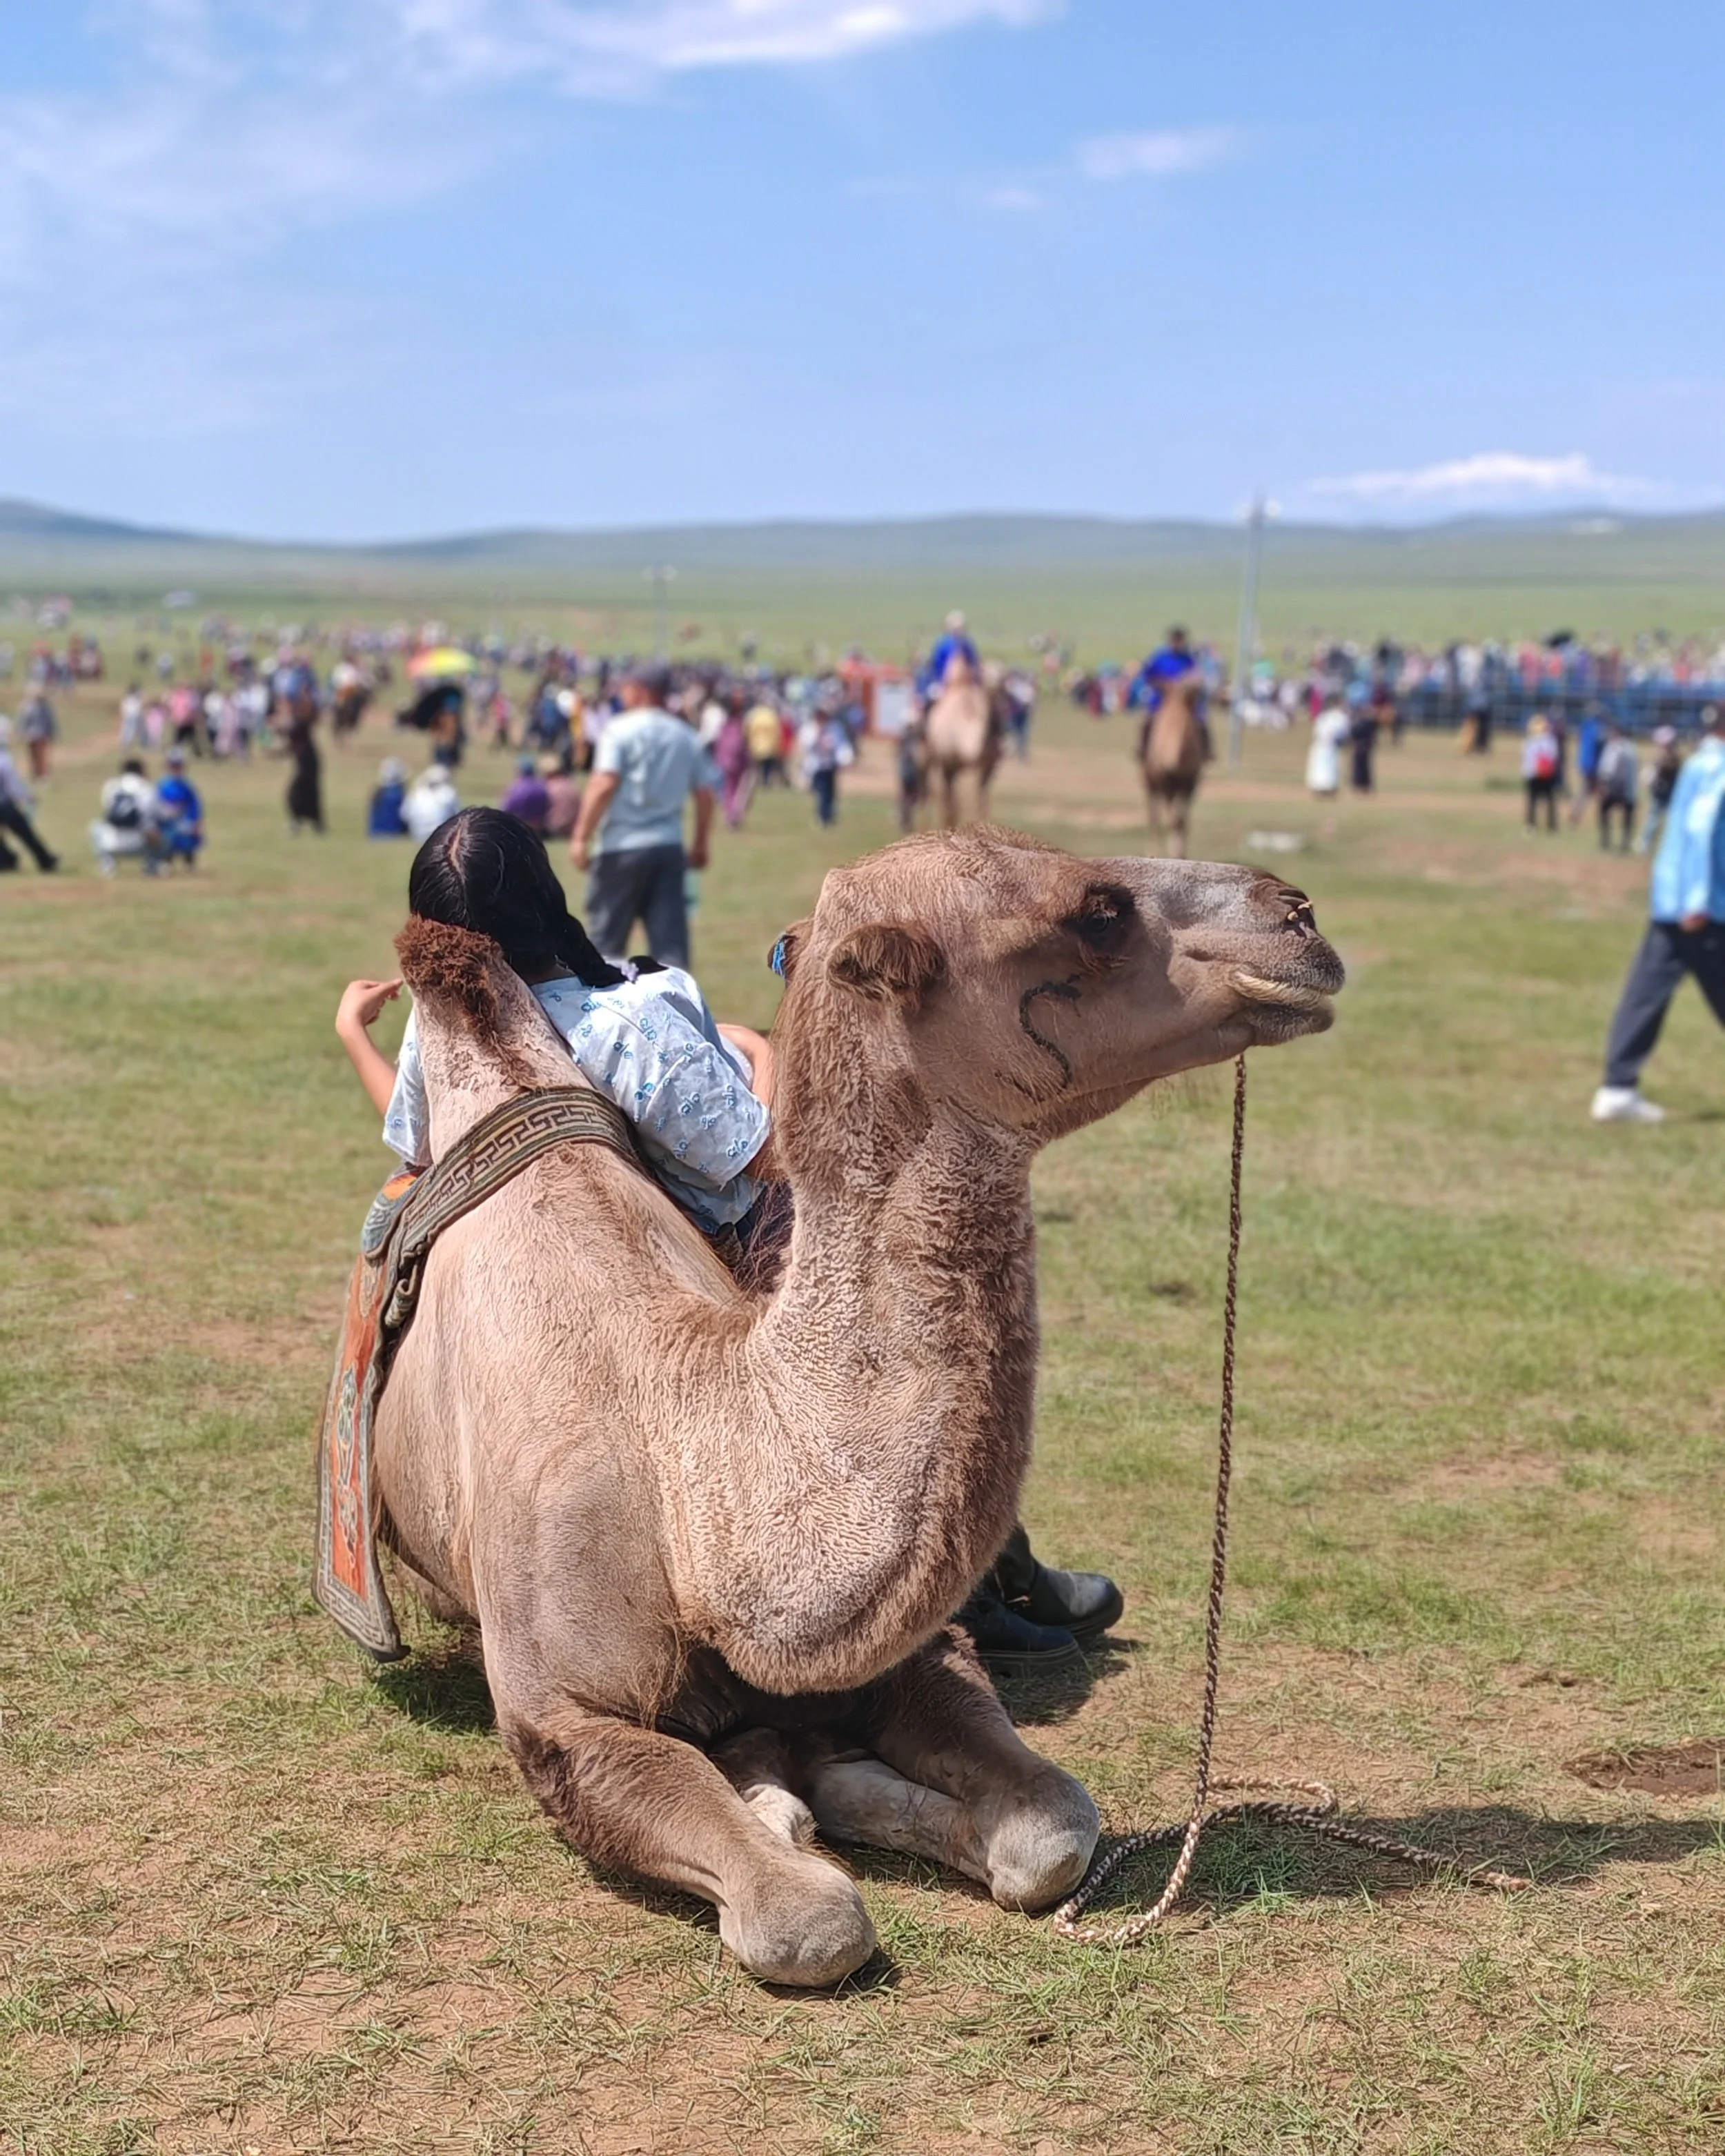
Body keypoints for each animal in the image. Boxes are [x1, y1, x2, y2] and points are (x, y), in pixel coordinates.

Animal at [373, 828, 1343, 1987]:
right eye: (1096, 909)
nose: (1299, 917)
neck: (692, 1476)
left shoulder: (907, 1655)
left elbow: (1055, 1825)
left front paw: (833, 1785)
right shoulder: (563, 1716)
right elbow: (810, 1920)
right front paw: (790, 1817)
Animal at [920, 656, 1004, 827]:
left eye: (1002, 670)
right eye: (985, 670)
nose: (998, 682)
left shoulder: (987, 767)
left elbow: (982, 805)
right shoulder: (951, 764)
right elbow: (953, 806)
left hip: (954, 768)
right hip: (930, 758)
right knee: (930, 793)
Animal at [1141, 675, 1212, 857]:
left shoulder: (1190, 781)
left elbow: (1182, 820)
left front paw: (1181, 854)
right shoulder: (1167, 782)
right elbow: (1172, 820)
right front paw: (1174, 853)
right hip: (1150, 782)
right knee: (1153, 816)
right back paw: (1152, 852)